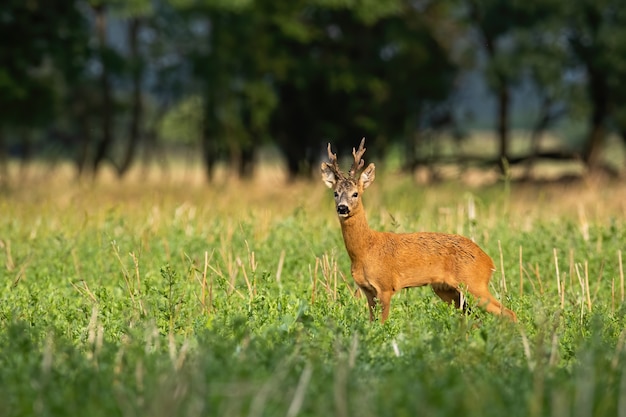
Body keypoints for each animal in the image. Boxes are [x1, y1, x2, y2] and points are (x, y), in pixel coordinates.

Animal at [320, 138, 516, 324]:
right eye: (335, 193)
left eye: (356, 193)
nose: (342, 208)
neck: (365, 250)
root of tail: (488, 261)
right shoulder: (368, 290)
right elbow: (370, 323)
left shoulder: (386, 286)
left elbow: (382, 324)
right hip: (446, 289)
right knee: (473, 317)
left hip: (474, 283)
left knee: (508, 313)